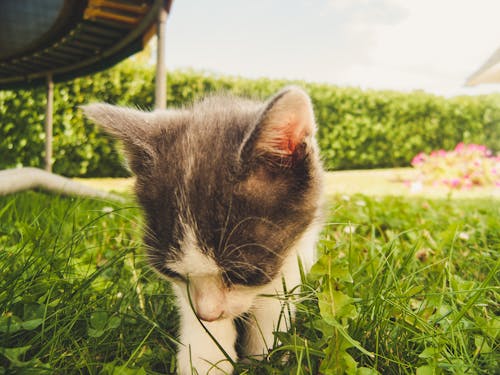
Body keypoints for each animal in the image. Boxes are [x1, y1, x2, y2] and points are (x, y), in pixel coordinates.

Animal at [82, 86, 324, 374]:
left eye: (241, 274)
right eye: (171, 273)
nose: (208, 314)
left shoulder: (298, 246)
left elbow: (275, 301)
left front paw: (265, 355)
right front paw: (206, 355)